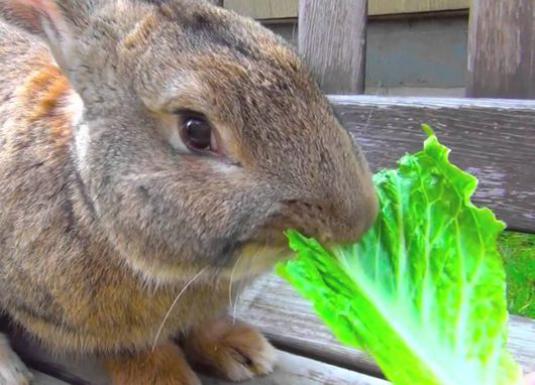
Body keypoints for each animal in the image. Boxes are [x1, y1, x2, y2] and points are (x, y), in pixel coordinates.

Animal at [0, 0, 376, 382]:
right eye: (195, 131)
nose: (359, 219)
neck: (87, 206)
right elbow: (133, 346)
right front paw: (167, 376)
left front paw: (240, 351)